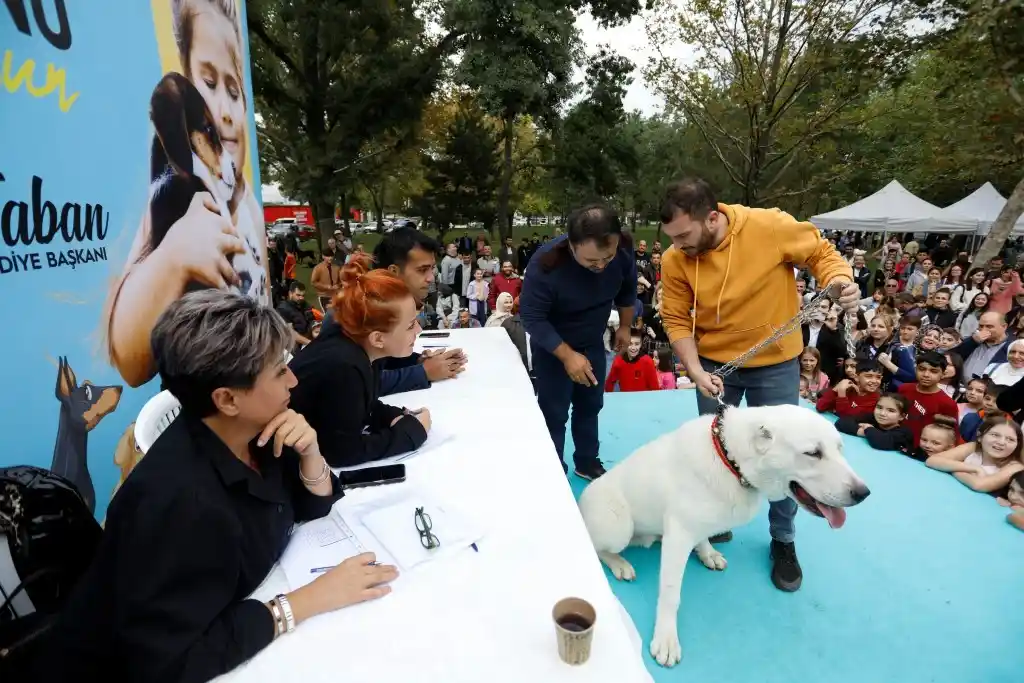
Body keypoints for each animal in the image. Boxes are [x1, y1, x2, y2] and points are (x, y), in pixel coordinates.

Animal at [581, 405, 868, 667]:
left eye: (840, 449)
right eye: (813, 453)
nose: (863, 493)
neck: (731, 461)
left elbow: (703, 537)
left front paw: (707, 552)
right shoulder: (680, 534)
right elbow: (671, 594)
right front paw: (666, 639)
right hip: (619, 527)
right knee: (596, 546)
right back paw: (620, 563)